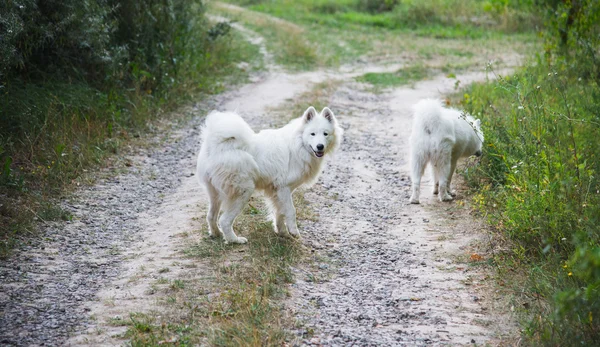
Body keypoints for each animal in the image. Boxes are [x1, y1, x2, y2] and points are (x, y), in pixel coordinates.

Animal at [195, 106, 340, 245]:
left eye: (325, 134)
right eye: (312, 134)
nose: (320, 146)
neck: (299, 145)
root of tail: (216, 145)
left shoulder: (278, 191)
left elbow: (280, 213)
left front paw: (282, 233)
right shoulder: (284, 189)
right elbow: (291, 211)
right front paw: (293, 232)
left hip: (214, 193)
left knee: (211, 216)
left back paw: (216, 234)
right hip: (244, 191)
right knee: (224, 220)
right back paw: (235, 240)